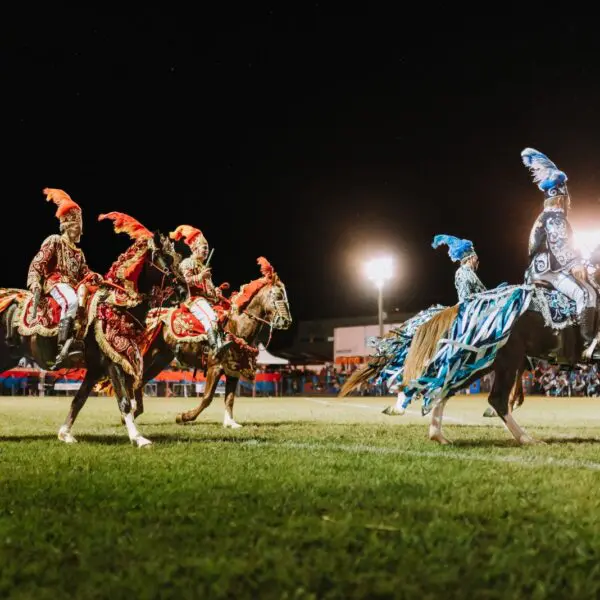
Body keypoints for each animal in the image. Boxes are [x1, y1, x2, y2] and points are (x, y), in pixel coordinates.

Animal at [0, 218, 185, 448]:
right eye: (167, 258)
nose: (184, 290)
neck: (117, 304)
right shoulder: (113, 362)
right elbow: (124, 402)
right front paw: (138, 438)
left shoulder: (96, 368)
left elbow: (79, 400)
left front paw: (65, 433)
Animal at [132, 255, 292, 428]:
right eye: (277, 296)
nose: (286, 321)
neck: (236, 326)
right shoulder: (214, 367)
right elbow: (207, 398)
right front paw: (184, 416)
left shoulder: (233, 370)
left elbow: (229, 399)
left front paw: (230, 423)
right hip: (147, 353)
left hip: (161, 359)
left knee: (141, 380)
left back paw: (135, 412)